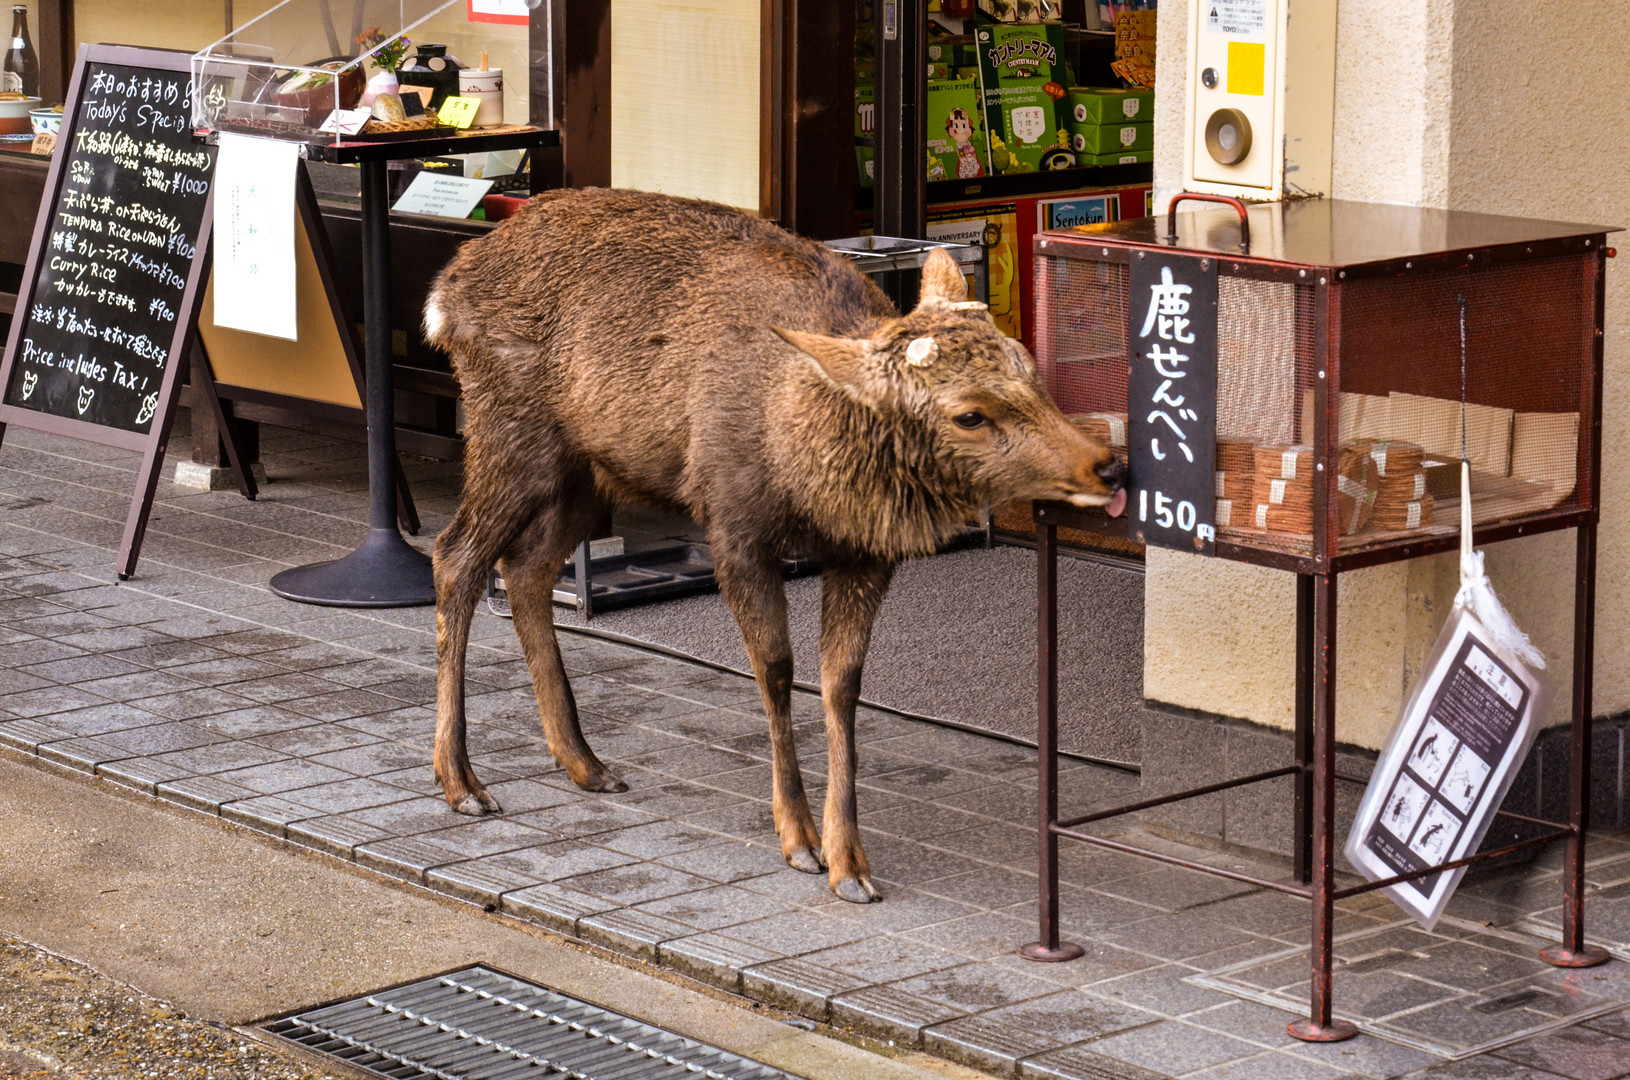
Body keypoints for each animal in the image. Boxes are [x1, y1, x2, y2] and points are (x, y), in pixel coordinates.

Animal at [427, 188, 1127, 905]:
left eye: (1029, 368)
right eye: (969, 415)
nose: (1107, 466)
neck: (802, 456)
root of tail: (445, 290)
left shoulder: (864, 552)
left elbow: (841, 684)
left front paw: (850, 864)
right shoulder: (733, 525)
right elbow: (776, 668)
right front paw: (799, 841)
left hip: (589, 471)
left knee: (527, 566)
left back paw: (584, 763)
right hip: (510, 431)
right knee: (456, 555)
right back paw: (462, 781)